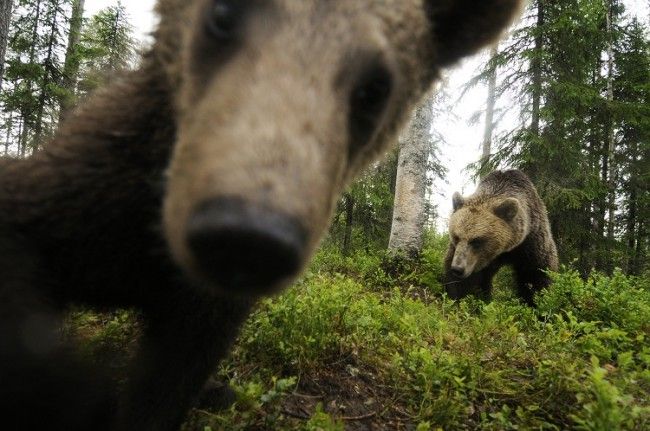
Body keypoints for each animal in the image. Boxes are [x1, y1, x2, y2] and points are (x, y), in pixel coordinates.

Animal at [0, 0, 520, 431]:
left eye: (375, 88)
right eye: (223, 14)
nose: (245, 235)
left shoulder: (202, 312)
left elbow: (168, 384)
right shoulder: (92, 192)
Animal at [446, 170, 556, 306]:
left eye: (476, 241)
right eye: (456, 237)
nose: (458, 268)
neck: (504, 250)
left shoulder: (531, 243)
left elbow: (536, 274)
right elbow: (466, 282)